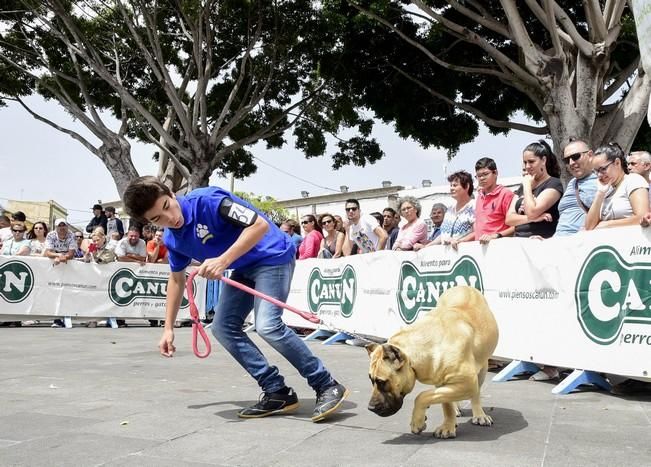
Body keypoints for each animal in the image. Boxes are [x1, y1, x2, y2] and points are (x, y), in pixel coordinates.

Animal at [366, 286, 500, 438]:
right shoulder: (440, 379)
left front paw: (417, 421)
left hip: (482, 369)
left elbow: (423, 395)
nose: (370, 408)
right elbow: (444, 402)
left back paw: (479, 414)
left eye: (382, 382)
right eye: (371, 379)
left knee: (476, 394)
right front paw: (448, 425)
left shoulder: (469, 382)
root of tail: (464, 286)